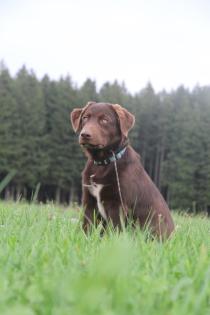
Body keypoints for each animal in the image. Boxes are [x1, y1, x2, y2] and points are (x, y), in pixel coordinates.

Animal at [70, 102, 174, 238]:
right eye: (85, 118)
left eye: (104, 120)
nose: (85, 134)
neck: (103, 163)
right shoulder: (89, 201)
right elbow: (87, 227)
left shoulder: (118, 205)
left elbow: (115, 231)